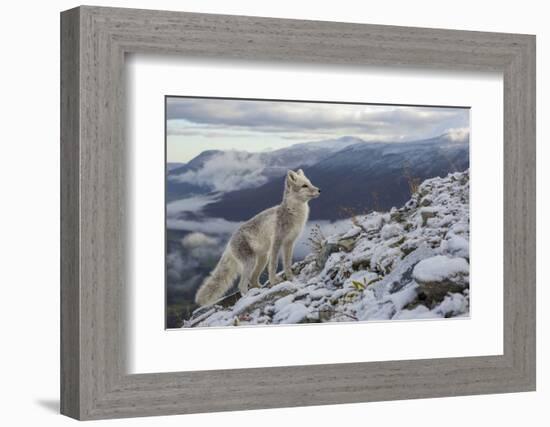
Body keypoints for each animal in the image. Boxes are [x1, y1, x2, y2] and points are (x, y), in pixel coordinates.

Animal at [196, 169, 322, 306]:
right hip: (251, 262)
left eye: (310, 183)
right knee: (242, 285)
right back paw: (248, 297)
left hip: (262, 259)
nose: (319, 190)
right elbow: (274, 265)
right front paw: (274, 281)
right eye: (304, 186)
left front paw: (291, 278)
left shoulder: (289, 243)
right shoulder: (277, 242)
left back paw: (259, 289)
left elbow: (287, 264)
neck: (292, 212)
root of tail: (229, 243)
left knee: (253, 280)